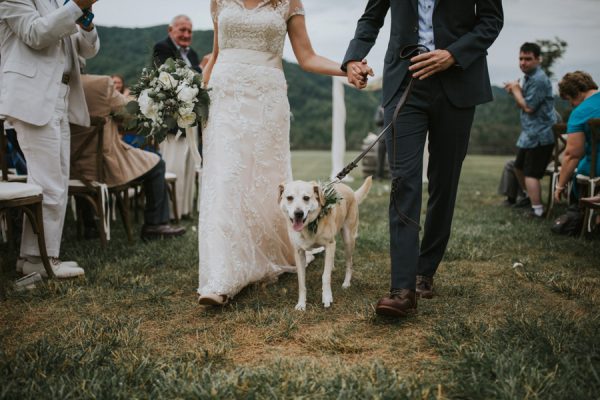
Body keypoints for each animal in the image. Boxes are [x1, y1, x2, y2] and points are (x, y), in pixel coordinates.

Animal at [280, 177, 372, 310]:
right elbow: (301, 281)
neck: (310, 226)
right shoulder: (299, 252)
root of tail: (350, 190)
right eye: (289, 198)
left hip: (348, 240)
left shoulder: (329, 244)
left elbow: (325, 276)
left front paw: (327, 297)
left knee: (349, 263)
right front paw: (301, 303)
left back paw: (346, 282)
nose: (298, 213)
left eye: (306, 198)